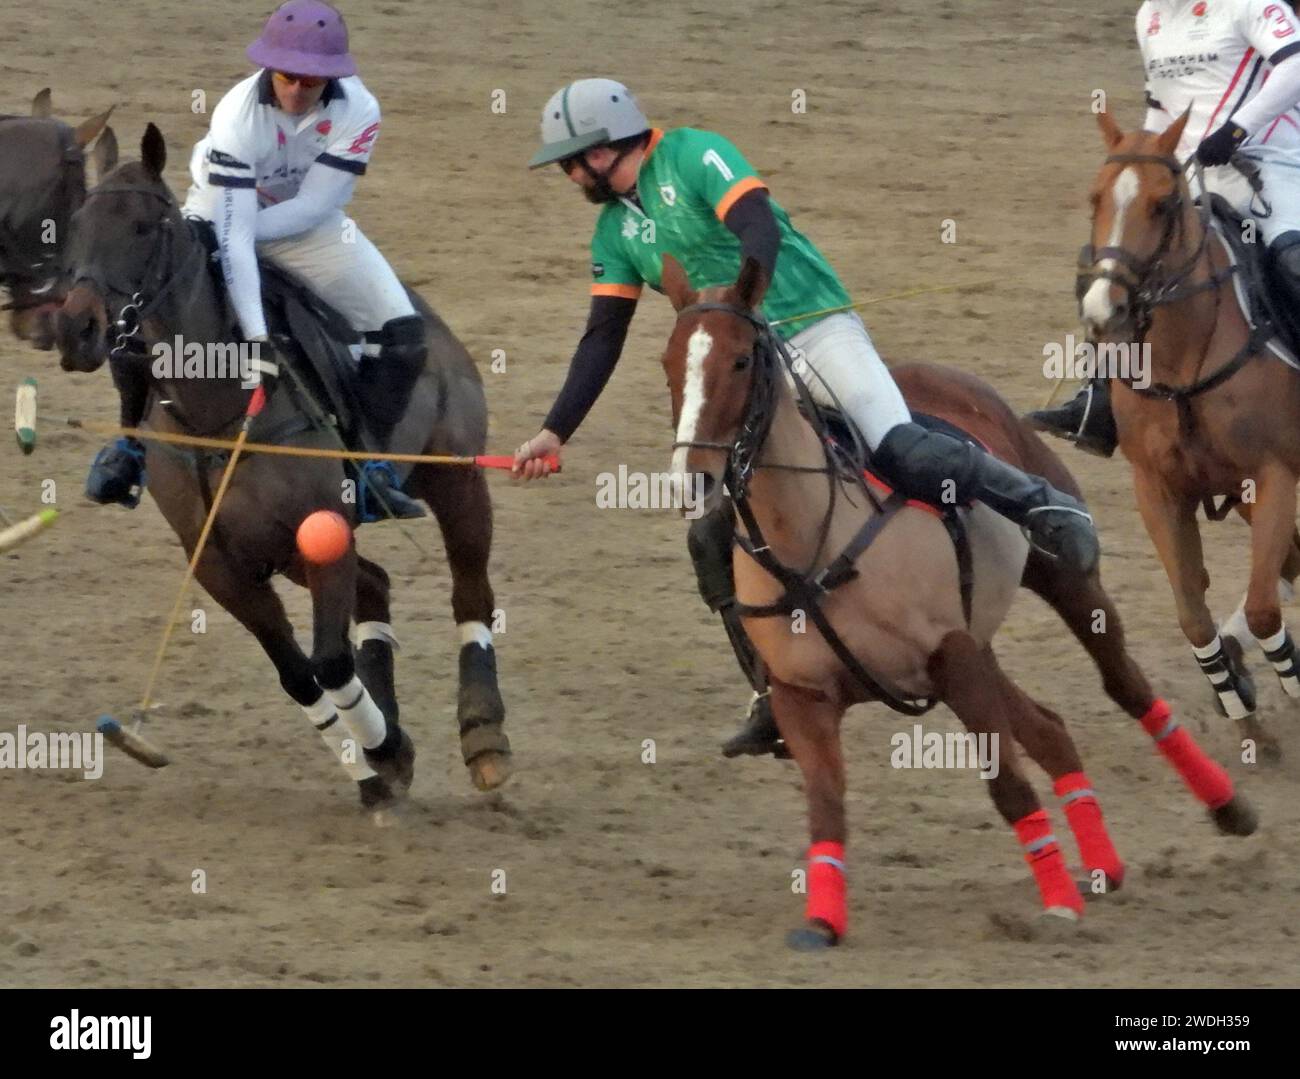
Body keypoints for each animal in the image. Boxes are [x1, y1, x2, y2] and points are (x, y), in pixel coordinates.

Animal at [55, 126, 512, 816]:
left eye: (142, 227)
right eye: (77, 223)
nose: (76, 330)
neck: (214, 411)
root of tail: (430, 317)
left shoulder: (322, 532)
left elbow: (330, 661)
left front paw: (385, 750)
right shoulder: (221, 564)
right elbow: (299, 673)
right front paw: (377, 762)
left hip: (456, 480)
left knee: (470, 594)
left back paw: (484, 736)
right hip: (293, 547)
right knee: (375, 585)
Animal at [660, 256, 1248, 956]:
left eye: (742, 359)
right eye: (669, 363)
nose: (692, 480)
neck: (811, 545)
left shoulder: (953, 656)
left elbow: (1008, 785)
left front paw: (1058, 902)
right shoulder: (804, 696)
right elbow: (826, 803)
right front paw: (822, 921)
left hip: (1062, 586)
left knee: (1124, 685)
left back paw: (1227, 807)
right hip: (984, 645)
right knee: (1050, 728)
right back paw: (1104, 863)